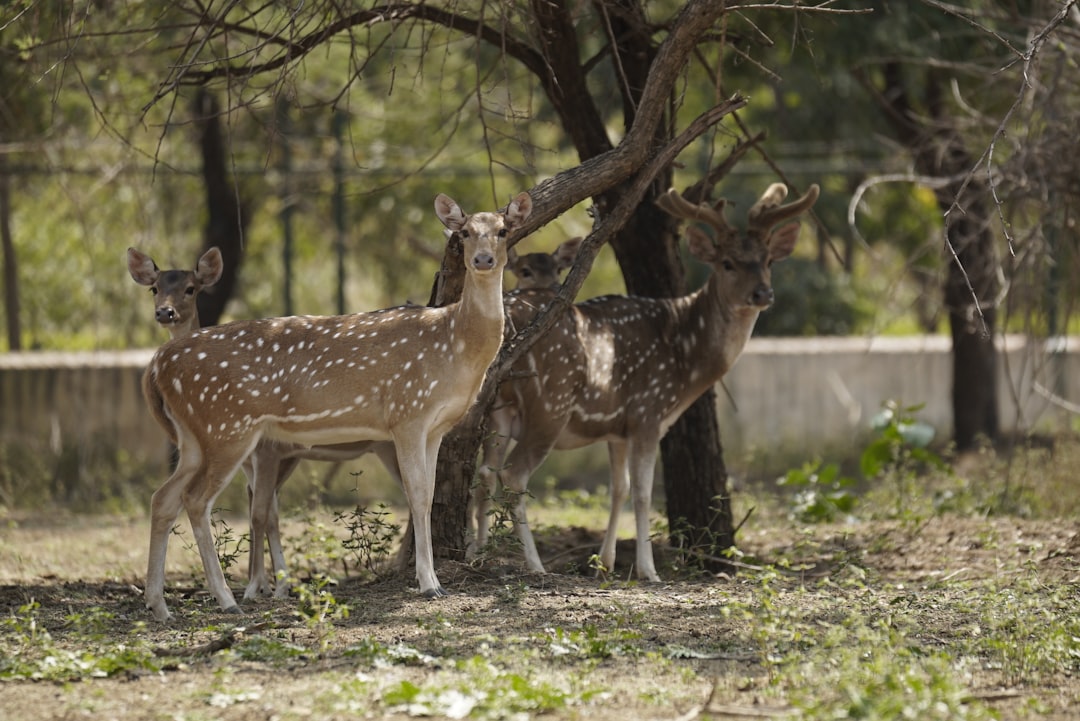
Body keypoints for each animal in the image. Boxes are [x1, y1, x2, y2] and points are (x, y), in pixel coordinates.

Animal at [143, 189, 531, 621]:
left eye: (503, 230)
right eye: (464, 233)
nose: (483, 260)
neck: (455, 347)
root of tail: (157, 364)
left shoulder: (435, 428)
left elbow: (430, 495)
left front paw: (431, 578)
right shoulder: (407, 412)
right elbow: (416, 494)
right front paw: (429, 584)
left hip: (194, 436)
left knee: (163, 498)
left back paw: (159, 604)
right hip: (228, 427)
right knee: (195, 500)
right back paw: (226, 599)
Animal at [466, 181, 816, 578]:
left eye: (768, 261)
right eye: (727, 263)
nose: (763, 294)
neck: (685, 357)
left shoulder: (618, 428)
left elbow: (619, 487)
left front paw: (605, 562)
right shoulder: (648, 413)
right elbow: (645, 493)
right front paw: (648, 569)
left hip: (500, 407)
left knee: (485, 471)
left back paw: (478, 553)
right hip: (550, 403)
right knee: (514, 476)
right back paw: (535, 564)